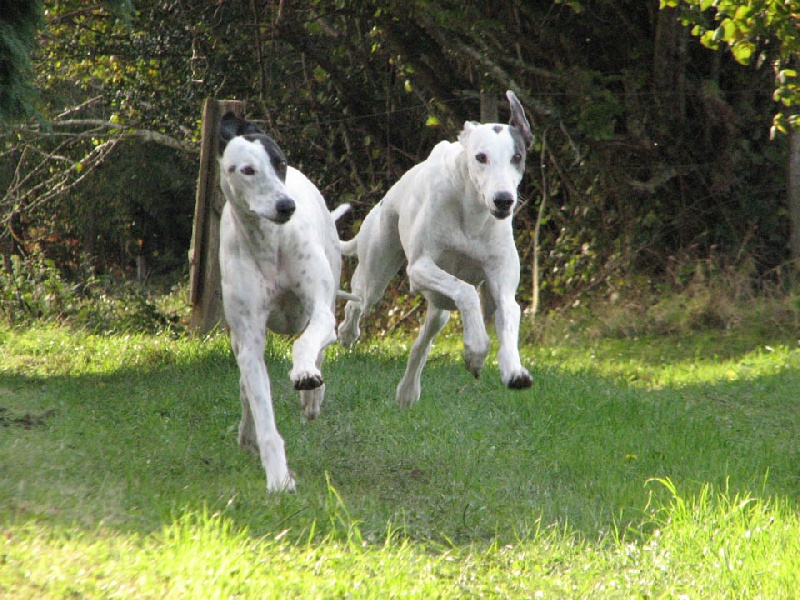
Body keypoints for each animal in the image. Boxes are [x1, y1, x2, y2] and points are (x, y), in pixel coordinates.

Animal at [217, 112, 348, 492]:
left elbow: (307, 344)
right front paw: (278, 477)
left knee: (317, 346)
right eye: (248, 170)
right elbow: (261, 407)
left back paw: (312, 395)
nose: (286, 205)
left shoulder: (320, 309)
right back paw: (247, 433)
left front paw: (305, 376)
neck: (267, 244)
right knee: (245, 386)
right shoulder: (248, 338)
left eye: (280, 163)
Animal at [340, 90, 536, 408]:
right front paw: (477, 350)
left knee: (423, 342)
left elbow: (508, 310)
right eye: (481, 157)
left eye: (517, 156)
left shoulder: (501, 280)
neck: (471, 214)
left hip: (438, 306)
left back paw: (407, 391)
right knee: (357, 301)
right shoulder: (419, 269)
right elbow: (467, 292)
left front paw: (513, 370)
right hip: (377, 272)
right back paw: (347, 333)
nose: (504, 200)